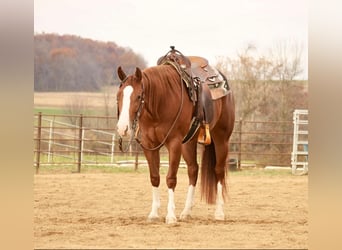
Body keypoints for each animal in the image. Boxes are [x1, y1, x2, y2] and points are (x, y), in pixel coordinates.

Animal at [116, 57, 234, 224]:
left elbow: (171, 178)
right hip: (188, 143)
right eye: (118, 96)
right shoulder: (149, 145)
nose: (122, 128)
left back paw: (219, 213)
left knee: (218, 170)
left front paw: (170, 216)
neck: (161, 102)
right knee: (193, 170)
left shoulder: (174, 143)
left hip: (221, 138)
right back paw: (186, 212)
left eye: (139, 96)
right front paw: (154, 214)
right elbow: (155, 177)